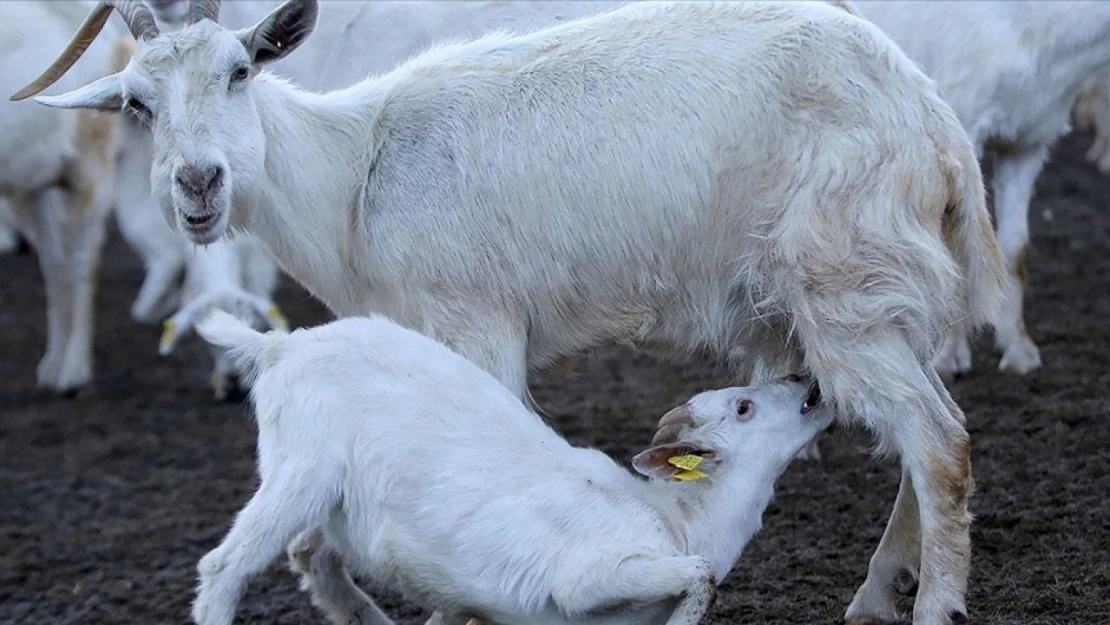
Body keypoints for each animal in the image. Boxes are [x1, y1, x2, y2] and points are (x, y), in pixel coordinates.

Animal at [193, 310, 834, 625]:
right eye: (743, 407)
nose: (806, 380)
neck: (677, 522)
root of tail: (282, 345)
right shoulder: (588, 581)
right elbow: (701, 577)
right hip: (301, 469)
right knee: (223, 566)